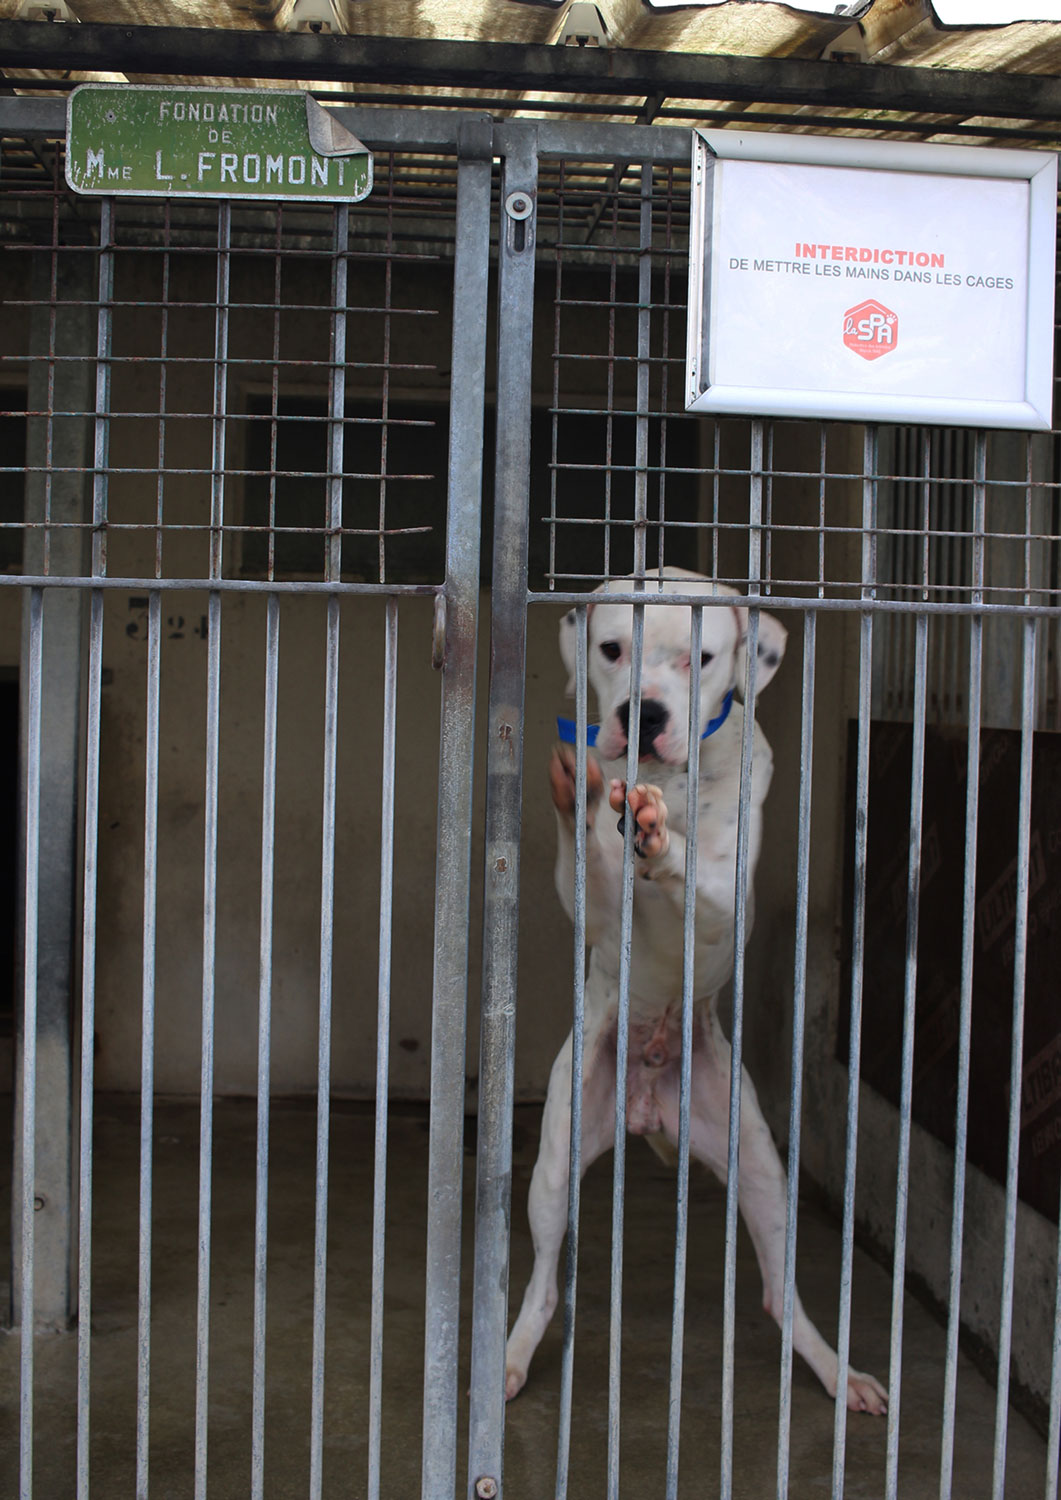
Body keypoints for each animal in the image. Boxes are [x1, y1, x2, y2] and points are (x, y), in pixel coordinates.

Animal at [507, 570, 888, 1416]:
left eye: (700, 658)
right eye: (611, 648)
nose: (641, 714)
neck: (666, 782)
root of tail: (652, 1106)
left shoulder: (722, 905)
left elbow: (698, 878)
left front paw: (660, 841)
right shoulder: (593, 905)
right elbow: (590, 862)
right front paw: (584, 801)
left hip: (763, 1172)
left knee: (782, 1294)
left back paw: (837, 1370)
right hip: (555, 1162)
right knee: (545, 1279)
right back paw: (510, 1354)